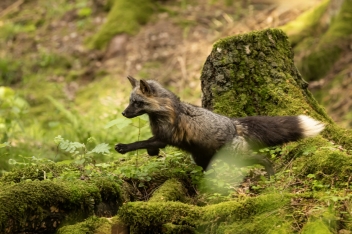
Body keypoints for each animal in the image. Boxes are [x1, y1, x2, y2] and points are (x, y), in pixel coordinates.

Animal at [115, 76, 324, 176]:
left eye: (136, 103)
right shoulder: (161, 138)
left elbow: (140, 143)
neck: (164, 111)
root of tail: (233, 123)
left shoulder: (164, 137)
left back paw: (271, 175)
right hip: (202, 158)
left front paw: (124, 147)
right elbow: (148, 145)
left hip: (237, 158)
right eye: (130, 101)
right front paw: (152, 154)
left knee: (263, 158)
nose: (123, 113)